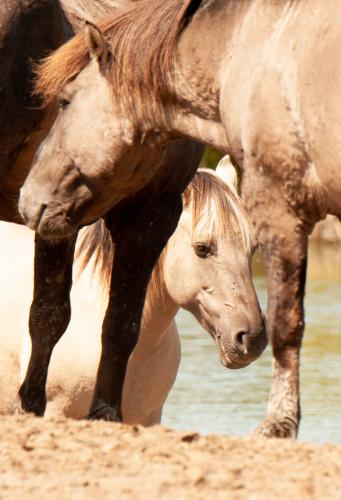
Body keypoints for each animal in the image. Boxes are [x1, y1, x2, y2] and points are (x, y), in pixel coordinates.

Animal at [20, 0, 340, 438]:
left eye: (65, 101)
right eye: (203, 247)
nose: (29, 199)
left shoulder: (280, 207)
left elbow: (287, 322)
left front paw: (278, 426)